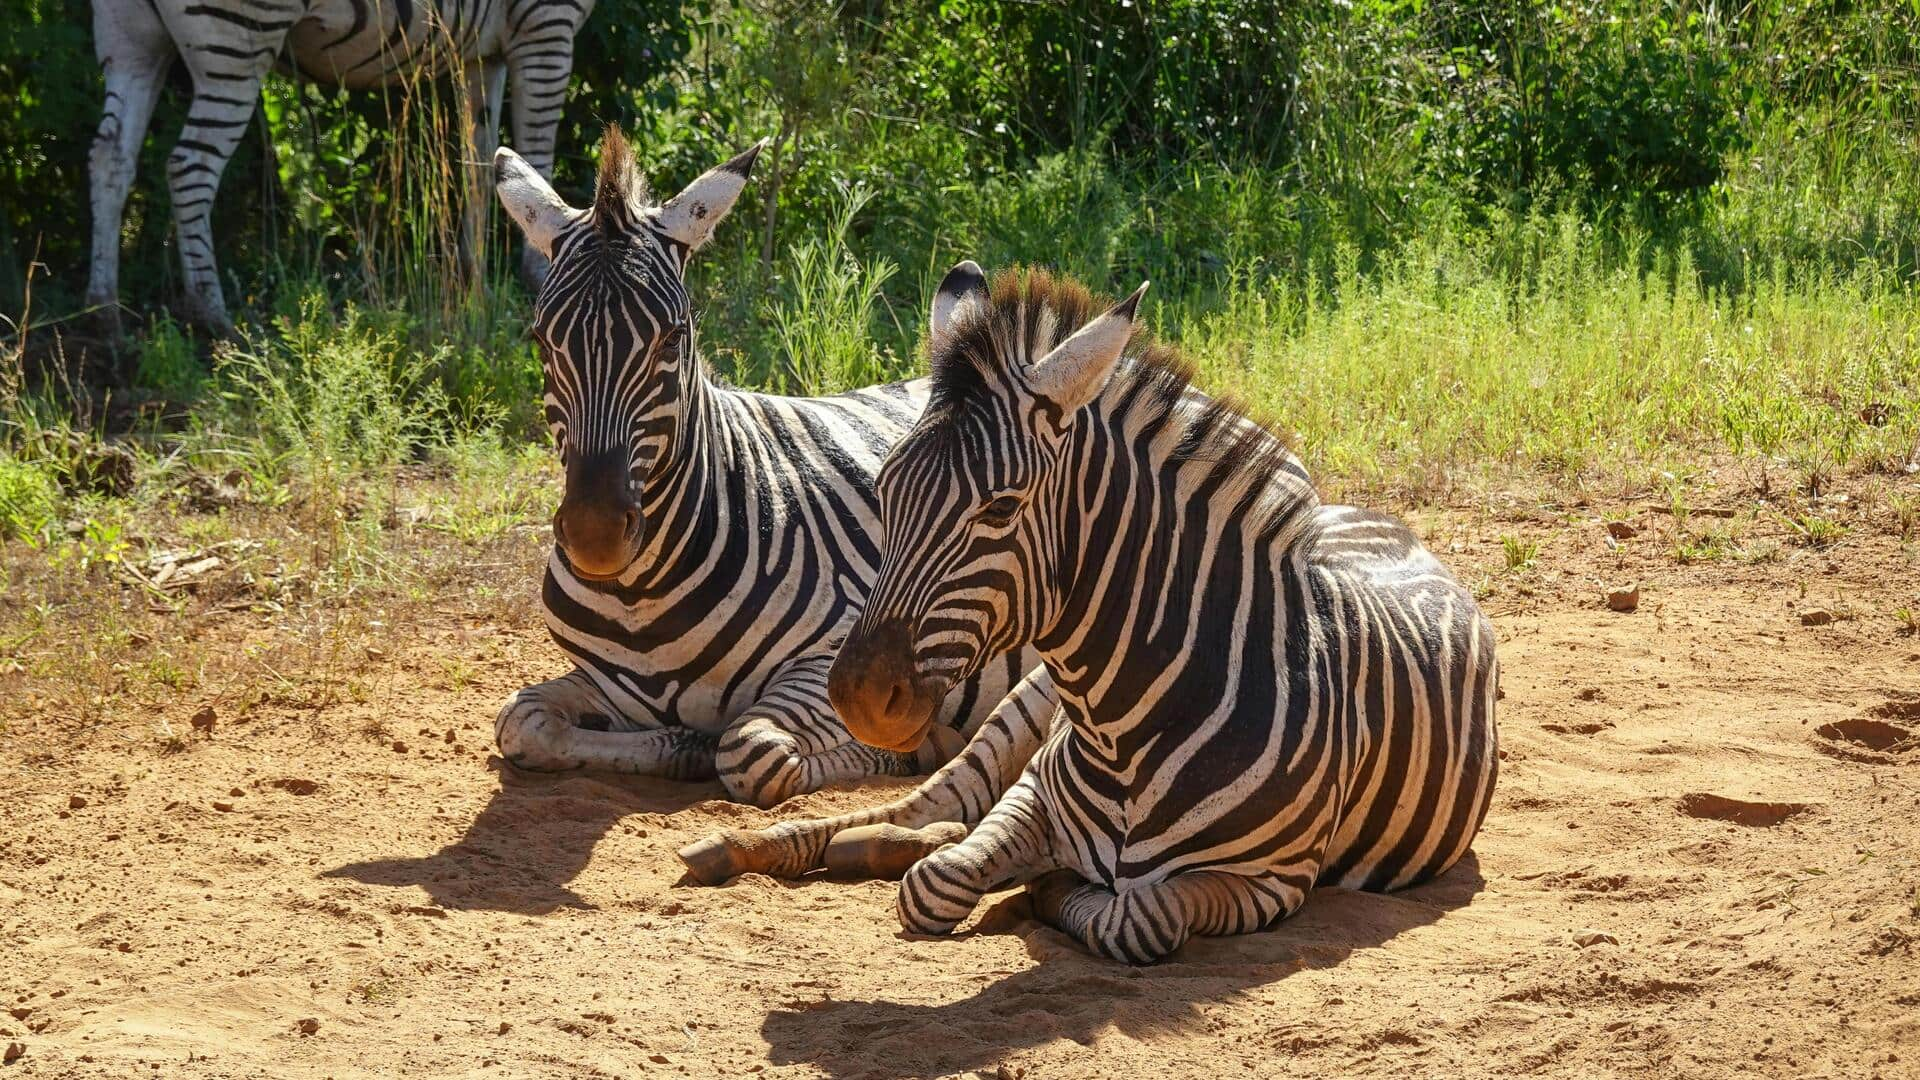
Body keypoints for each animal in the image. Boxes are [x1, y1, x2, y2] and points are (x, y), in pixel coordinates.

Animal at [88, 0, 591, 328]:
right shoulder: (545, 25)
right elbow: (536, 161)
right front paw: (540, 277)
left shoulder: (483, 52)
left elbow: (481, 171)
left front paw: (474, 288)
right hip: (236, 41)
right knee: (188, 166)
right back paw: (211, 313)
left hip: (133, 40)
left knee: (110, 158)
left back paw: (104, 312)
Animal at [487, 127, 1044, 807]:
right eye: (542, 340)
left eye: (672, 339)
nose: (595, 535)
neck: (639, 595)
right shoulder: (607, 684)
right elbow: (522, 721)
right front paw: (683, 746)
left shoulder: (841, 654)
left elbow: (753, 751)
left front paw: (908, 749)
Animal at [691, 265, 1497, 953]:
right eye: (885, 490)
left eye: (1001, 508)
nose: (858, 694)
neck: (1128, 732)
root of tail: (1377, 520)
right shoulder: (1033, 798)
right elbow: (935, 885)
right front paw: (1015, 879)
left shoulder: (1273, 881)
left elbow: (1135, 915)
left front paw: (1045, 892)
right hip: (1021, 708)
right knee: (922, 808)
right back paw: (746, 847)